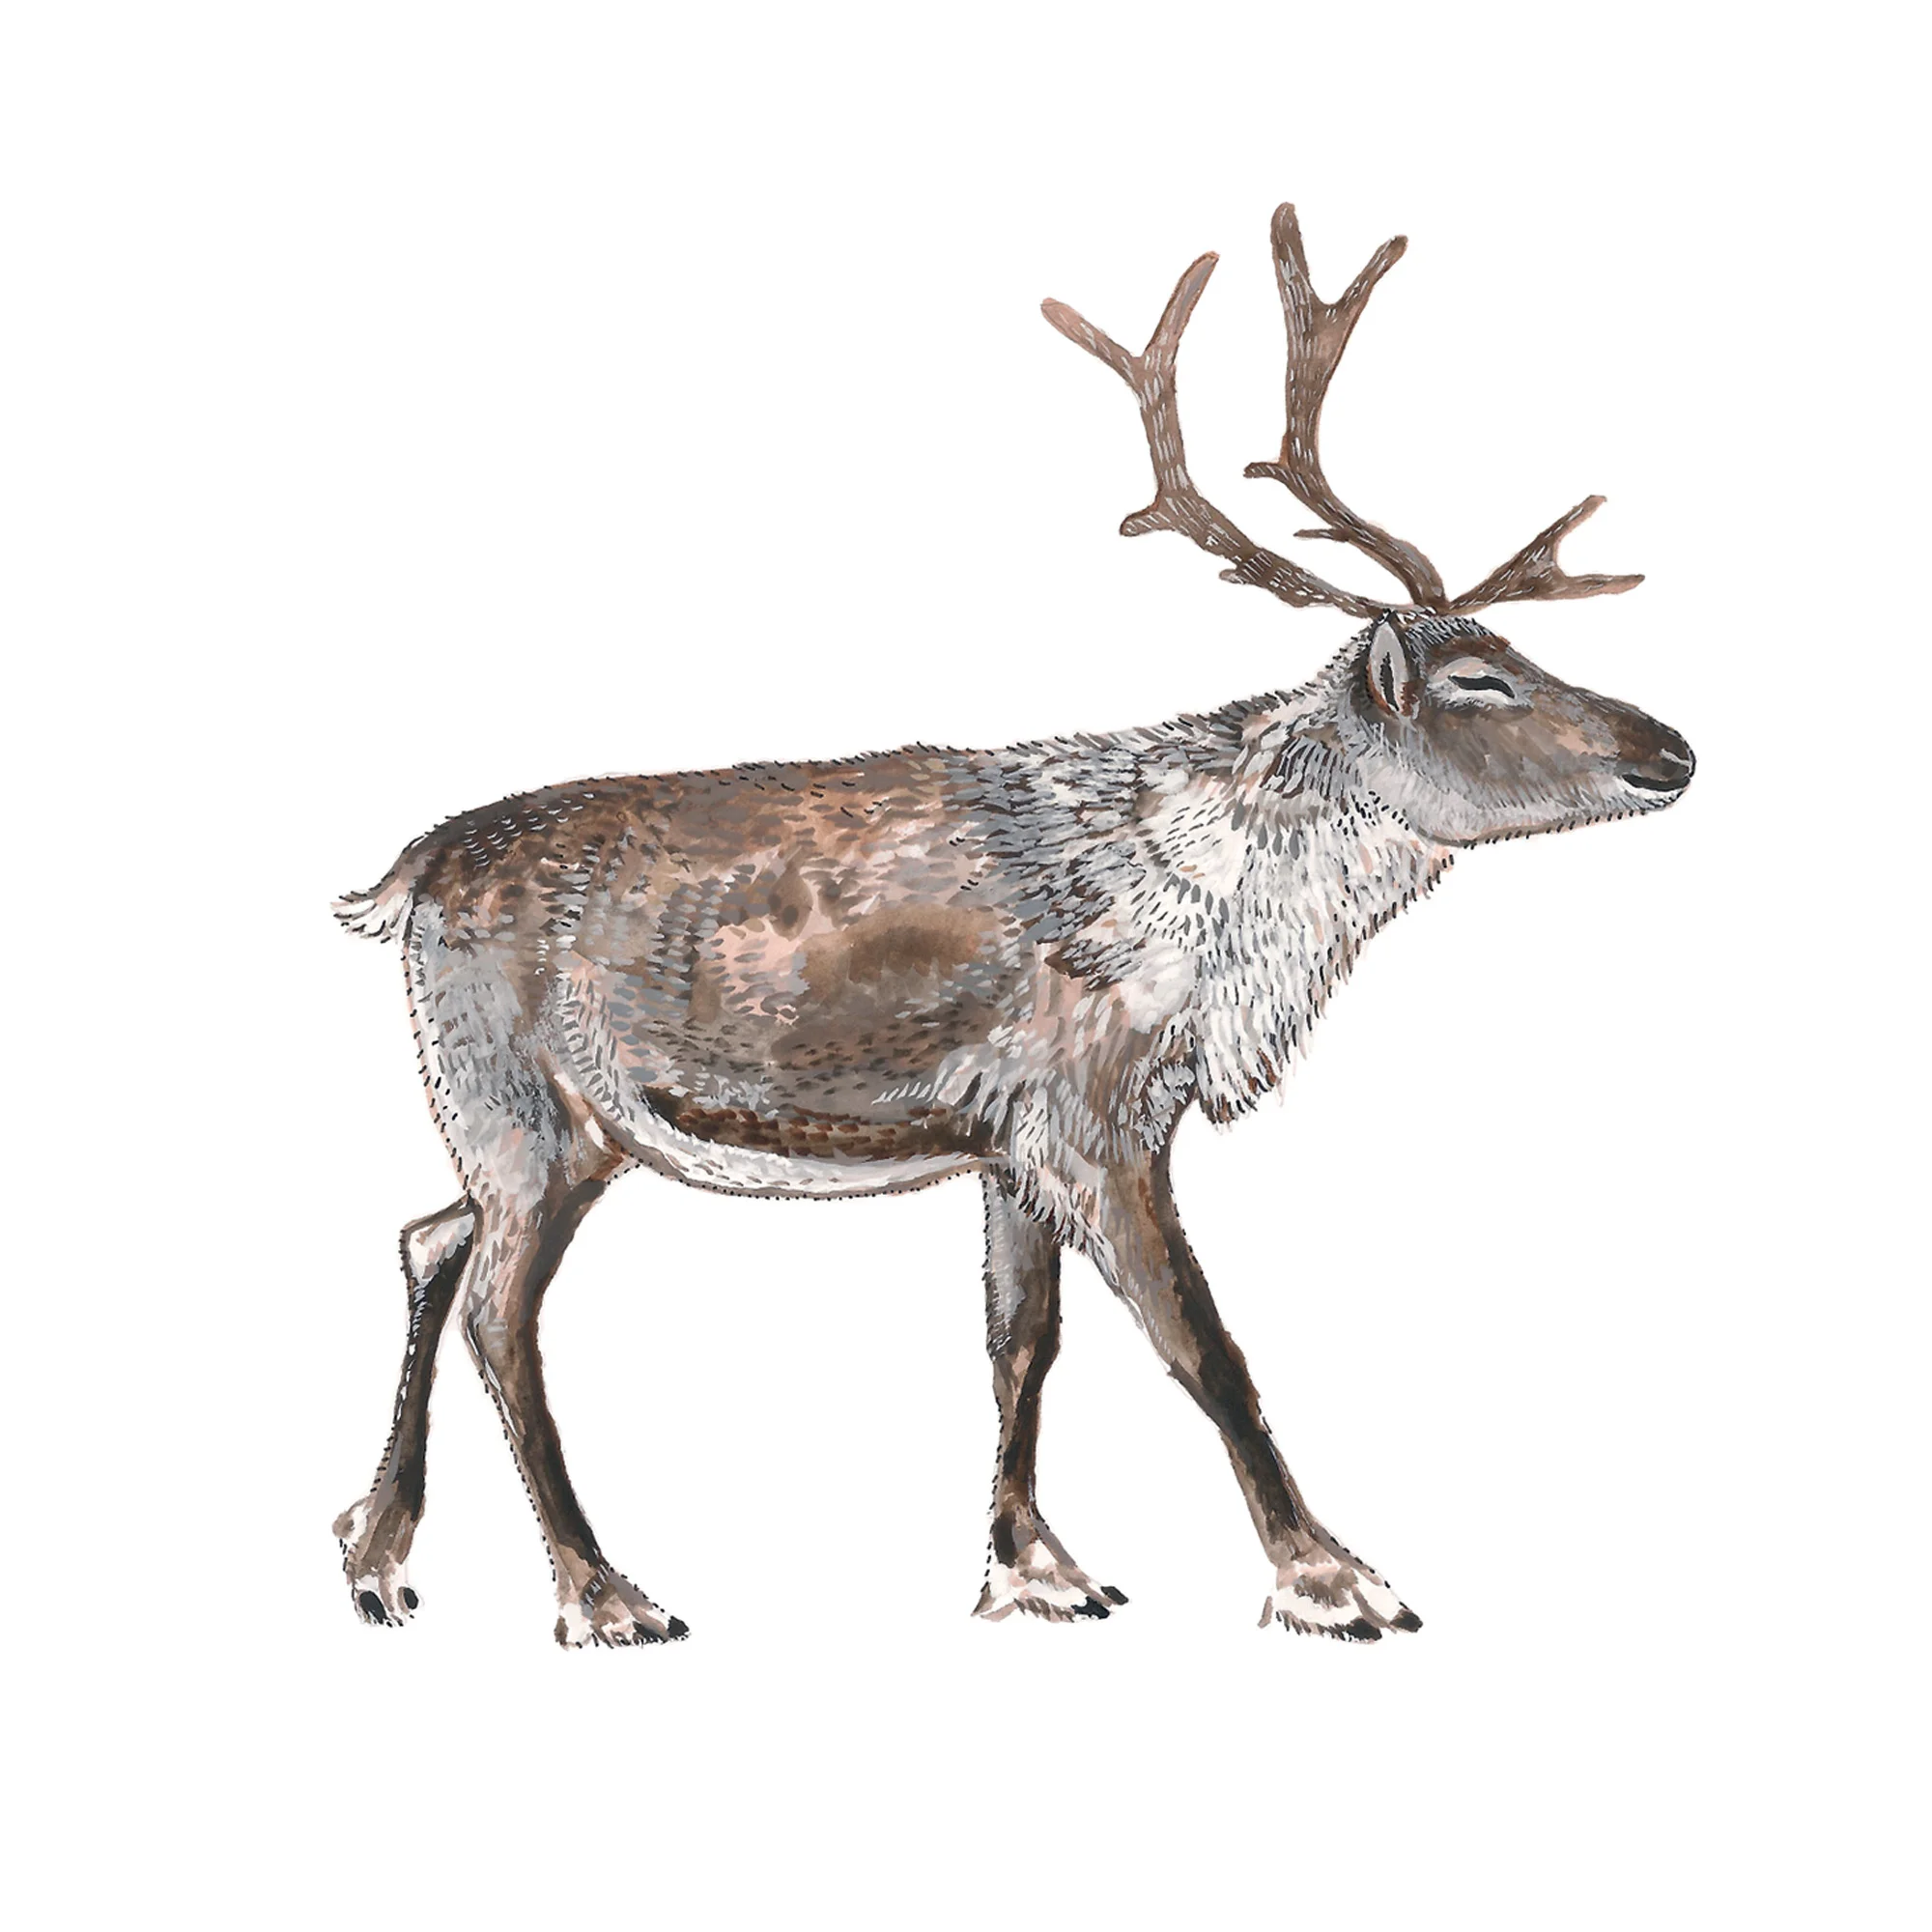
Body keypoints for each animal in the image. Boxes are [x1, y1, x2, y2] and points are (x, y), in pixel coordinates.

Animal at [333, 203, 1692, 1648]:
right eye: (1480, 679)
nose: (1671, 750)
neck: (1217, 933)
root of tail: (407, 874)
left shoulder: (1005, 1137)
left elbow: (1020, 1337)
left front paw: (1034, 1566)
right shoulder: (1089, 1110)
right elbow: (1202, 1342)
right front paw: (1331, 1578)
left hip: (530, 1126)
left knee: (428, 1236)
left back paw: (376, 1550)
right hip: (522, 1105)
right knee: (497, 1311)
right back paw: (603, 1593)